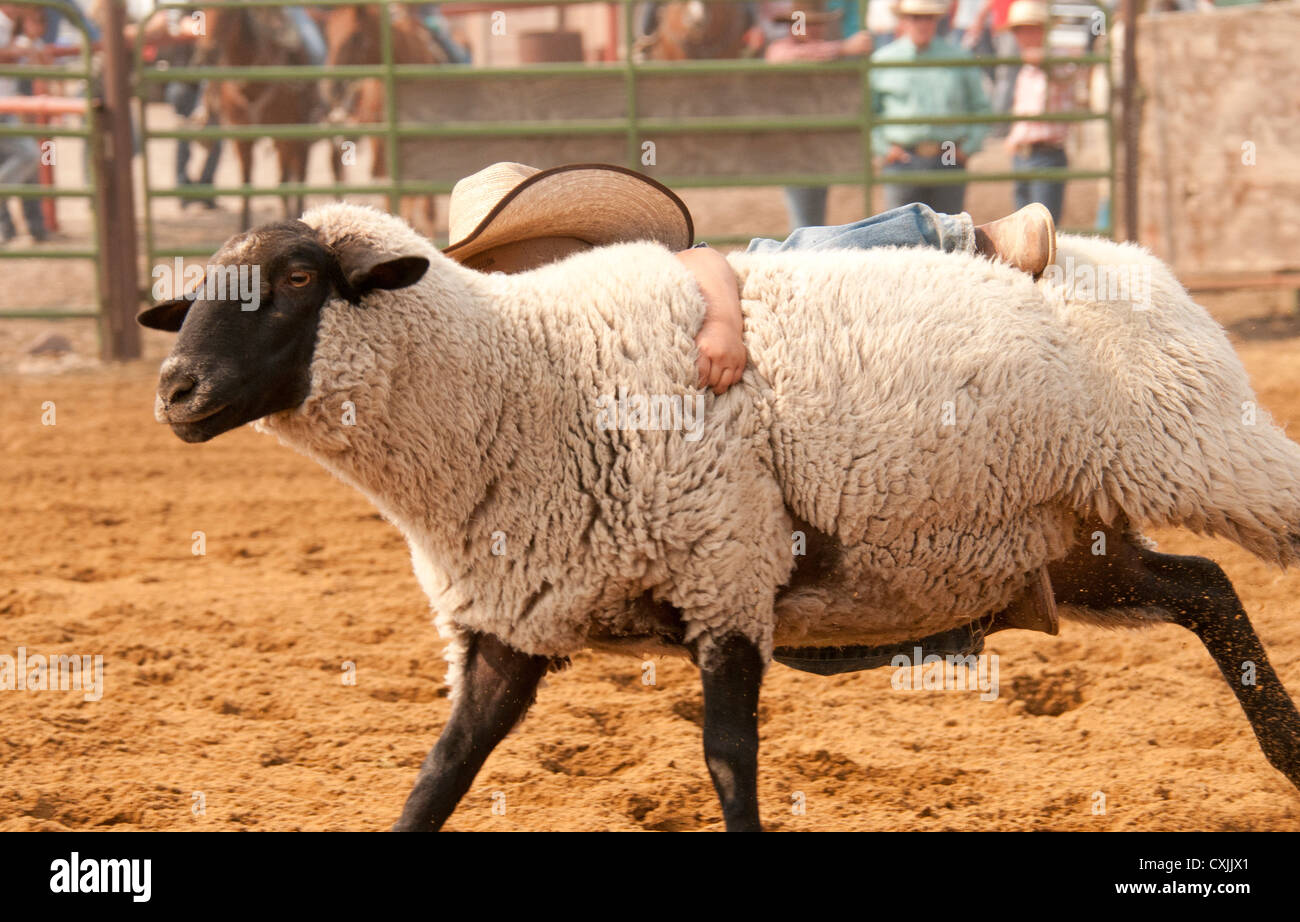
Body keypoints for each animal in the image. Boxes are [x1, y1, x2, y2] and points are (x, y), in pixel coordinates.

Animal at [139, 202, 1300, 832]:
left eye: (297, 276)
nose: (175, 391)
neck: (525, 382)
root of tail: (1131, 258)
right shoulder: (514, 623)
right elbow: (439, 775)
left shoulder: (725, 571)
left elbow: (728, 764)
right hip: (1068, 537)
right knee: (1205, 587)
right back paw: (1288, 756)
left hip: (1203, 453)